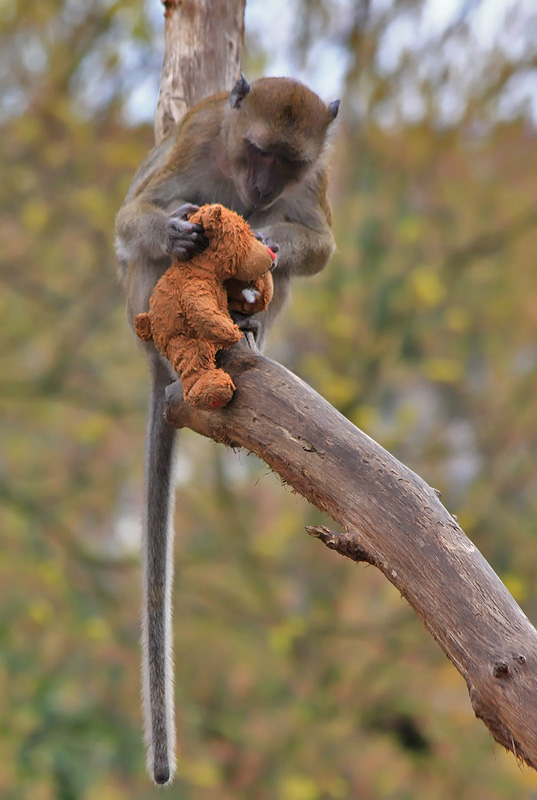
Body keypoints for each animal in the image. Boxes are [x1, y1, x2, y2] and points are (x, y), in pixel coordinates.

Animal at [114, 76, 338, 788]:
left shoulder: (314, 180)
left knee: (278, 278)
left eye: (287, 162)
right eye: (258, 150)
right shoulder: (195, 141)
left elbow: (317, 246)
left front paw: (267, 235)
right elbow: (133, 217)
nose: (263, 189)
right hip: (143, 309)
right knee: (148, 262)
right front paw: (174, 229)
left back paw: (246, 324)